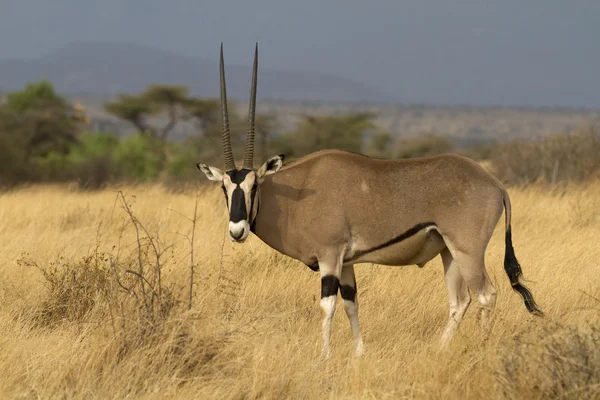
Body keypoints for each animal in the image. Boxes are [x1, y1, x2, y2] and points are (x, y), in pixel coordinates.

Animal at [195, 43, 540, 356]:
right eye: (225, 188)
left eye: (254, 185)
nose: (237, 230)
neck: (297, 192)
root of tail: (495, 183)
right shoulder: (346, 263)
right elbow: (351, 303)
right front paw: (359, 353)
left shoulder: (329, 256)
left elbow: (328, 306)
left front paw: (324, 357)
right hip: (449, 251)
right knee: (460, 301)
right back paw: (438, 351)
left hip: (468, 251)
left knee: (486, 295)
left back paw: (480, 349)